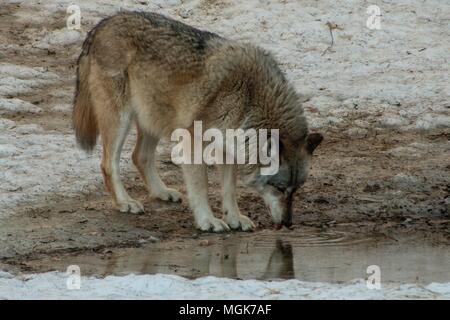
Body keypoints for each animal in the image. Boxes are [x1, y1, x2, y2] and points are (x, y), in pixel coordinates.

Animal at [72, 11, 322, 232]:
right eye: (279, 188)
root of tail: (103, 24)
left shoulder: (228, 148)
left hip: (154, 117)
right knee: (108, 163)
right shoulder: (193, 143)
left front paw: (234, 218)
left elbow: (229, 189)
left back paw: (162, 192)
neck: (249, 98)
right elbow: (201, 187)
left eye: (296, 189)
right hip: (120, 119)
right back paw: (125, 202)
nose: (288, 223)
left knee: (139, 156)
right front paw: (208, 221)